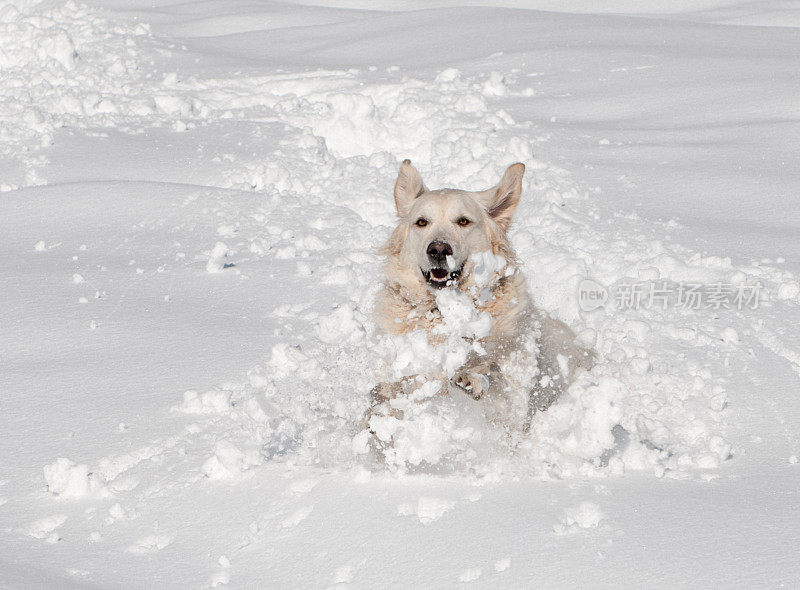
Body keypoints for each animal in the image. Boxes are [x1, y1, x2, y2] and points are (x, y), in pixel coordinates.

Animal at [372, 160, 592, 432]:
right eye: (421, 222)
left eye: (463, 221)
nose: (438, 249)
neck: (448, 313)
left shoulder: (515, 400)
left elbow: (497, 376)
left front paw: (473, 377)